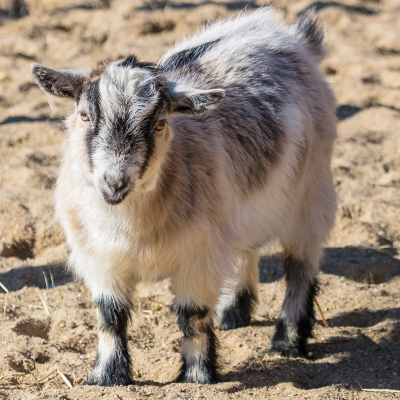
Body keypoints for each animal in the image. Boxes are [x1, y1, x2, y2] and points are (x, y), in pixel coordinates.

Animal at [32, 8, 338, 384]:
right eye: (84, 114)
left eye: (159, 124)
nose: (115, 182)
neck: (132, 224)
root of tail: (290, 36)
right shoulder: (99, 257)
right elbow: (110, 317)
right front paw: (107, 375)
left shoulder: (199, 254)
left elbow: (192, 316)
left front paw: (196, 375)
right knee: (246, 247)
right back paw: (235, 311)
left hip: (311, 192)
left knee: (300, 266)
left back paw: (288, 339)